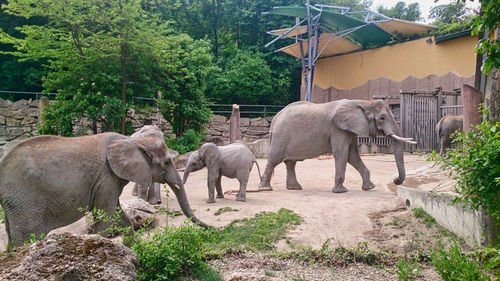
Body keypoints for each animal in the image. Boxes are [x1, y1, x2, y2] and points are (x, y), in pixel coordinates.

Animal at [0, 127, 207, 247]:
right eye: (166, 162)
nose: (211, 230)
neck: (131, 140)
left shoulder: (109, 180)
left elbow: (120, 215)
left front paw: (132, 250)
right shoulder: (106, 177)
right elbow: (105, 216)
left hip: (16, 202)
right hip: (26, 199)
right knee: (27, 236)